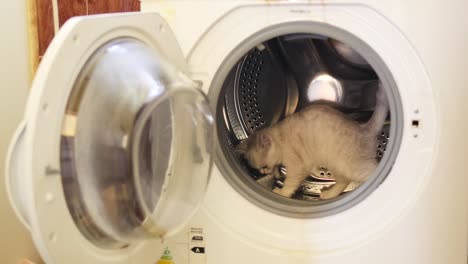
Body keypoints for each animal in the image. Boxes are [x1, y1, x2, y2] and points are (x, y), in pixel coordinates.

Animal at [238, 82, 388, 198]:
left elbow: (289, 184)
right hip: (336, 166)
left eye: (264, 166)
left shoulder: (297, 167)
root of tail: (364, 128)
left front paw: (281, 192)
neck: (281, 138)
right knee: (343, 182)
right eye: (259, 169)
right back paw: (327, 194)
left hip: (353, 167)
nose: (263, 172)